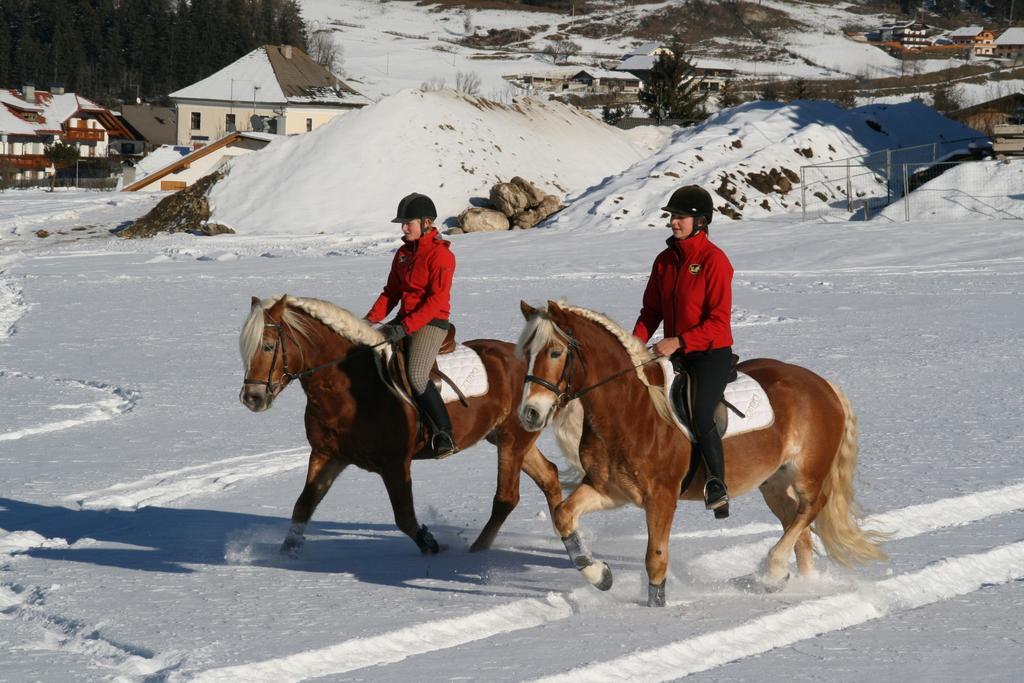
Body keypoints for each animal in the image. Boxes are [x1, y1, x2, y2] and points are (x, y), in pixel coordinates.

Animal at [237, 294, 569, 557]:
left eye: (268, 346)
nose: (251, 398)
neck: (349, 387)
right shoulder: (327, 455)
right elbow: (303, 506)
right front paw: (286, 554)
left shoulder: (395, 464)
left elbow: (405, 517)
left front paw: (432, 544)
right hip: (506, 437)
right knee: (549, 476)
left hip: (512, 439)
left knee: (506, 498)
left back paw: (477, 552)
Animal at [516, 301, 884, 606]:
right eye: (526, 353)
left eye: (555, 352)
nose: (530, 413)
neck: (631, 409)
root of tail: (823, 385)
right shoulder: (610, 490)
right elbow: (563, 515)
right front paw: (599, 575)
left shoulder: (662, 498)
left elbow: (656, 559)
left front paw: (654, 607)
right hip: (774, 483)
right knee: (798, 526)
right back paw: (803, 585)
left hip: (807, 473)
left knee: (811, 508)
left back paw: (775, 569)